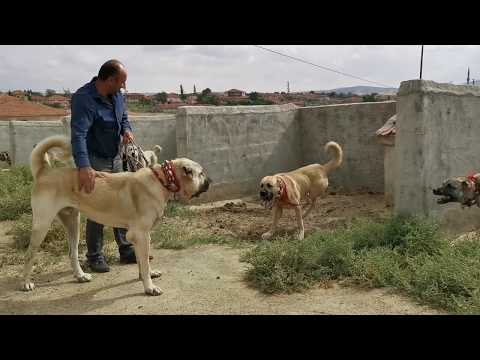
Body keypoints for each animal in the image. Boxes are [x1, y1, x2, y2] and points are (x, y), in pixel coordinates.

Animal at [21, 135, 211, 296]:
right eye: (201, 173)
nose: (210, 181)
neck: (162, 180)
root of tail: (45, 171)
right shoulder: (141, 235)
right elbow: (145, 262)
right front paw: (149, 287)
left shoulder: (138, 237)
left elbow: (142, 262)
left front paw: (146, 277)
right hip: (42, 224)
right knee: (29, 255)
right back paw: (26, 283)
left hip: (73, 223)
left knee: (72, 252)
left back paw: (81, 276)